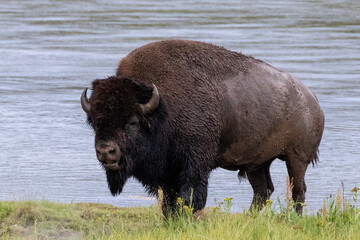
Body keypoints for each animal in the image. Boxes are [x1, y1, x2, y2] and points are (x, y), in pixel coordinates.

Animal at [81, 39, 324, 216]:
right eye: (95, 121)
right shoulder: (168, 172)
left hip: (296, 159)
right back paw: (250, 218)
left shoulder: (193, 164)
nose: (106, 151)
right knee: (263, 190)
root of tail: (312, 100)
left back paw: (293, 219)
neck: (162, 107)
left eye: (132, 122)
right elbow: (169, 201)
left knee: (298, 190)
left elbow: (190, 197)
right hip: (257, 163)